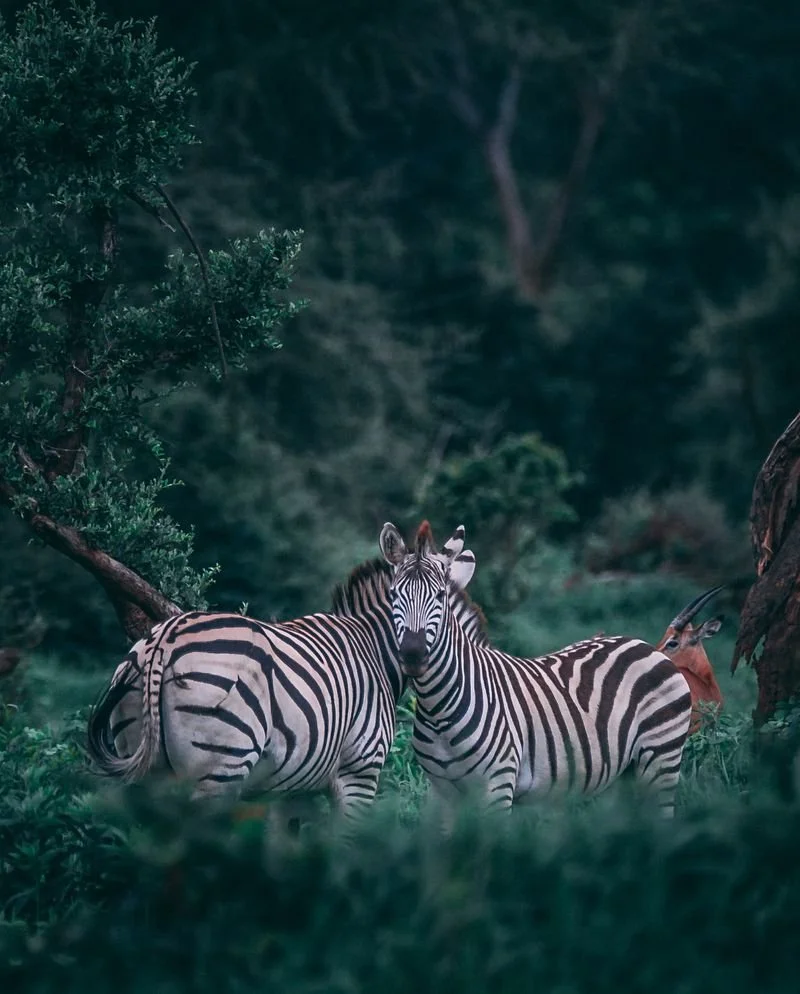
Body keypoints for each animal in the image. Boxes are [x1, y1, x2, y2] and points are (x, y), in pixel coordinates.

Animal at [87, 552, 486, 830]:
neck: (374, 648)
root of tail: (165, 638)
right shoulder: (360, 771)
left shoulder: (293, 787)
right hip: (220, 767)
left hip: (144, 761)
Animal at [379, 520, 693, 822]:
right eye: (393, 594)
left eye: (440, 596)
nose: (413, 654)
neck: (439, 709)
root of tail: (644, 645)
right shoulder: (442, 793)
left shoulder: (498, 785)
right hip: (623, 775)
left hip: (661, 759)